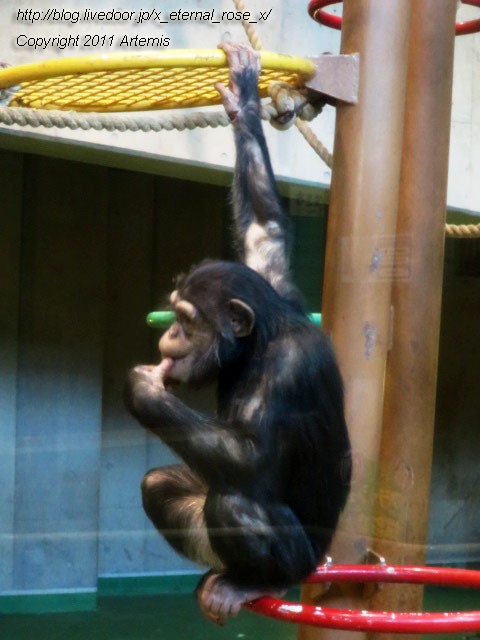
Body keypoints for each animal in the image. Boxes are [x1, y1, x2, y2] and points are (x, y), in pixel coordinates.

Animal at [124, 43, 350, 624]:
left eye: (187, 321)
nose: (170, 339)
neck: (257, 345)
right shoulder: (275, 284)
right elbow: (262, 229)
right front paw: (244, 102)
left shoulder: (292, 367)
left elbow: (251, 458)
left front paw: (143, 390)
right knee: (163, 485)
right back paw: (220, 576)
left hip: (302, 563)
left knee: (233, 501)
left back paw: (250, 582)